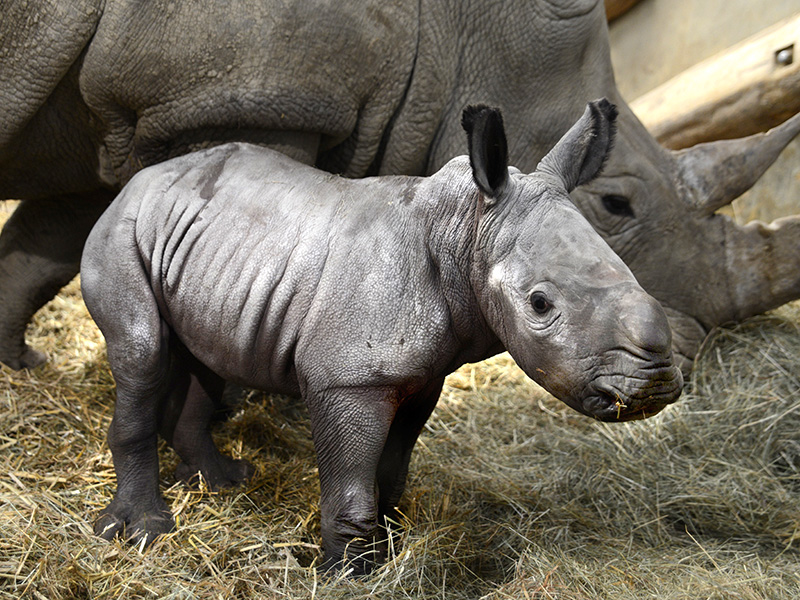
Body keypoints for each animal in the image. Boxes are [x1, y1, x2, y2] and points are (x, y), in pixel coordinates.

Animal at [1, 0, 800, 372]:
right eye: (614, 204)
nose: (682, 357)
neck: (454, 27)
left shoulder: (132, 118)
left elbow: (45, 244)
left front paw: (16, 364)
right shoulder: (235, 97)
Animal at [81, 99, 680, 576]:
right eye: (540, 304)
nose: (655, 385)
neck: (465, 228)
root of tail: (140, 179)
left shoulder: (421, 375)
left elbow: (392, 469)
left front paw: (387, 548)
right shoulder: (347, 379)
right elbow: (351, 480)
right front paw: (347, 573)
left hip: (207, 245)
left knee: (209, 360)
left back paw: (224, 482)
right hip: (122, 229)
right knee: (143, 352)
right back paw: (142, 531)